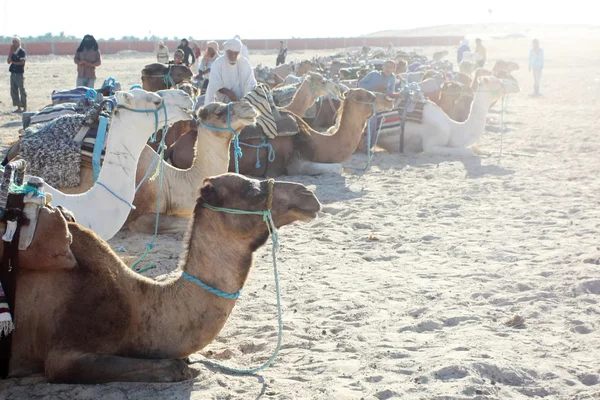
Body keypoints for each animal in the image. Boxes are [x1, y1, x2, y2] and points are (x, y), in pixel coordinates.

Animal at [3, 173, 324, 382]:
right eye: (253, 192)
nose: (309, 195)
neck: (138, 306)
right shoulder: (65, 352)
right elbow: (175, 368)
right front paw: (183, 368)